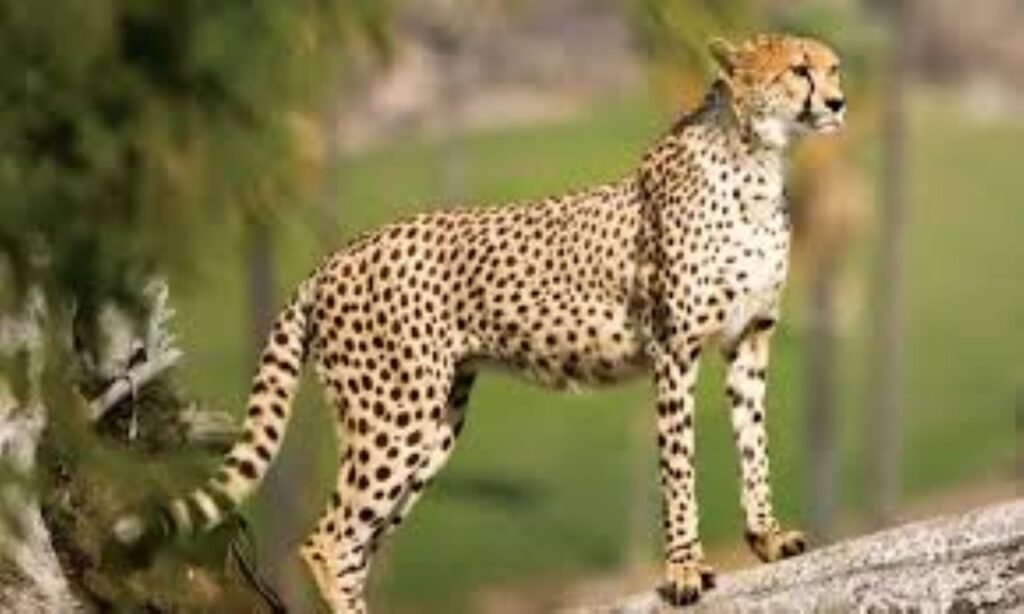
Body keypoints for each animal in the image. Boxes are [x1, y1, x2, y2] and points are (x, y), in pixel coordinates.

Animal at [112, 33, 846, 611]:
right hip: (394, 416)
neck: (756, 160)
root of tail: (334, 257)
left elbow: (753, 445)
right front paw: (686, 569)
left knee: (357, 543)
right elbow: (679, 467)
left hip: (433, 424)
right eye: (798, 70)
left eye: (834, 68)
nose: (839, 103)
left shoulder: (748, 343)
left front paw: (767, 536)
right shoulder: (674, 351)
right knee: (329, 540)